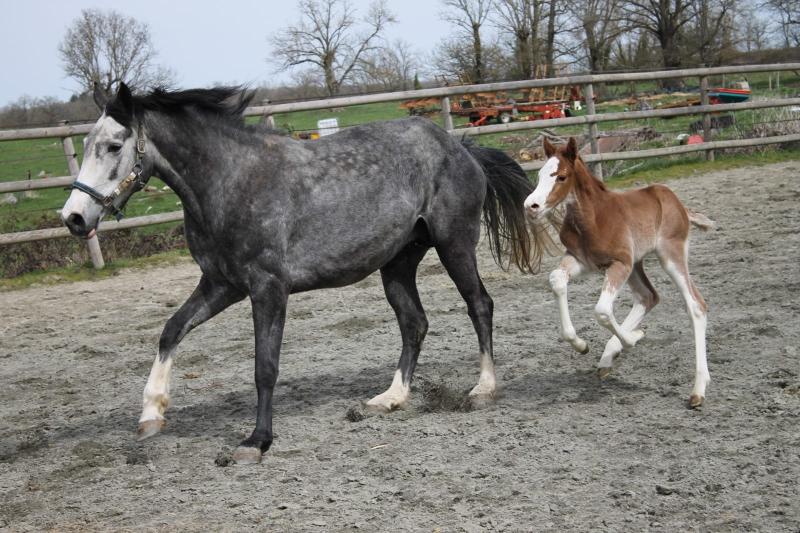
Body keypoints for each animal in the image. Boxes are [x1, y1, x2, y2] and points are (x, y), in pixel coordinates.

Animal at [60, 83, 543, 463]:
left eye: (114, 145)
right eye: (86, 145)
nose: (74, 218)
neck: (231, 183)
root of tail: (462, 147)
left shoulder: (268, 288)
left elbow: (265, 366)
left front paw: (256, 441)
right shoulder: (221, 285)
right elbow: (171, 330)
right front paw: (151, 414)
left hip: (454, 244)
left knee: (479, 305)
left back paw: (483, 389)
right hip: (397, 262)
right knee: (414, 323)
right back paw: (390, 398)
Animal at [523, 138, 713, 407]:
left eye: (561, 176)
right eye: (539, 174)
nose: (531, 206)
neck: (592, 218)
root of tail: (679, 204)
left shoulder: (619, 264)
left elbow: (602, 310)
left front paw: (632, 339)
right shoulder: (582, 261)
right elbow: (557, 279)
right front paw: (581, 345)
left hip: (669, 256)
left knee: (695, 305)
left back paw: (698, 389)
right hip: (636, 264)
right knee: (648, 296)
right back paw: (609, 356)